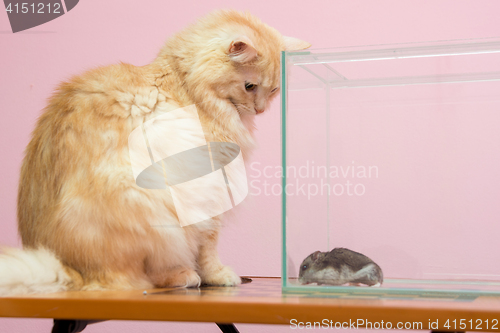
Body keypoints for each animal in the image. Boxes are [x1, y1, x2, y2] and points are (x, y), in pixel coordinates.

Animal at [0, 9, 308, 294]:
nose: (261, 109)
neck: (185, 86)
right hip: (144, 201)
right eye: (250, 86)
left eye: (274, 90)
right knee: (137, 277)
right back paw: (183, 276)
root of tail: (67, 267)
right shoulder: (212, 189)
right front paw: (218, 276)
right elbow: (208, 246)